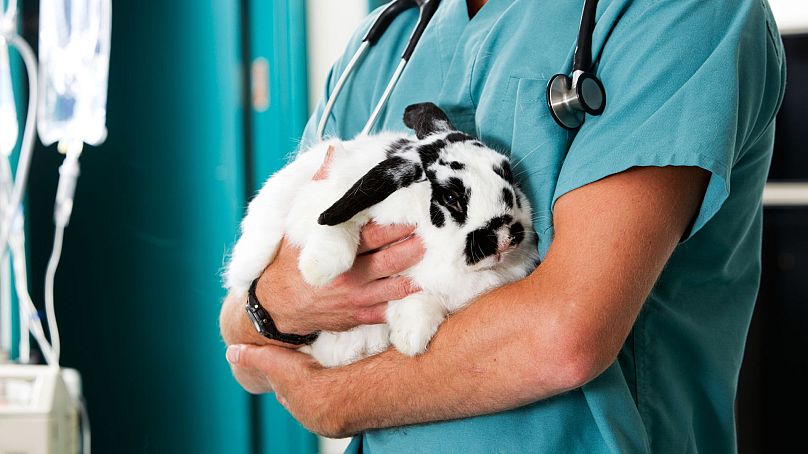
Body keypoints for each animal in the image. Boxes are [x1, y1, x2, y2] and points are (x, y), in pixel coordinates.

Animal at [225, 102, 539, 367]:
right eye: (451, 197)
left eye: (508, 174)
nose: (503, 238)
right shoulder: (325, 201)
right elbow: (336, 227)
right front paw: (318, 270)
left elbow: (419, 297)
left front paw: (410, 338)